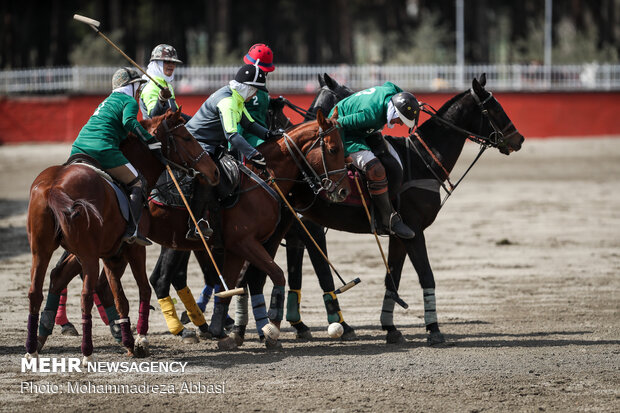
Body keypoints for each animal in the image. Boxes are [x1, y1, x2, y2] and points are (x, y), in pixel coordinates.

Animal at [26, 108, 220, 362]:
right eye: (187, 137)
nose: (214, 171)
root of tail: (55, 187)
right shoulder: (133, 248)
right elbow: (143, 289)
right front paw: (140, 339)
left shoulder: (111, 253)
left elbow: (118, 297)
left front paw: (128, 340)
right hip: (87, 254)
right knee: (85, 295)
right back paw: (87, 352)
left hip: (42, 250)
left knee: (38, 290)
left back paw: (35, 344)